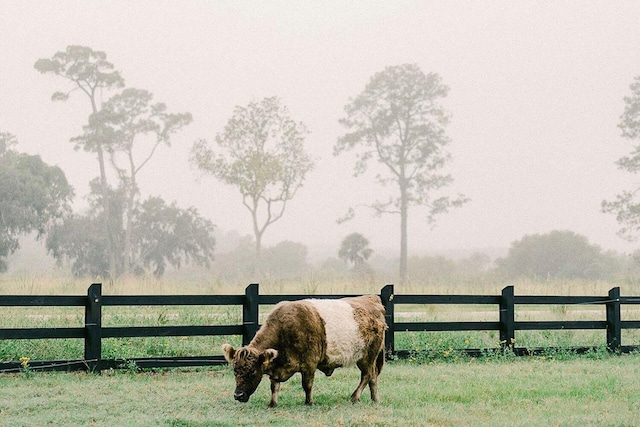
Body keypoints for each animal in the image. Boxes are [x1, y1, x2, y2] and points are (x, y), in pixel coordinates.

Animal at [222, 294, 388, 408]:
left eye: (252, 372)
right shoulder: (276, 368)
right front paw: (272, 404)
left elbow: (307, 385)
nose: (238, 395)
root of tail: (371, 299)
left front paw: (309, 402)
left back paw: (354, 397)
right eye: (234, 370)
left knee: (367, 375)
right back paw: (375, 399)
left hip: (368, 356)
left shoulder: (309, 364)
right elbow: (274, 386)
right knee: (373, 377)